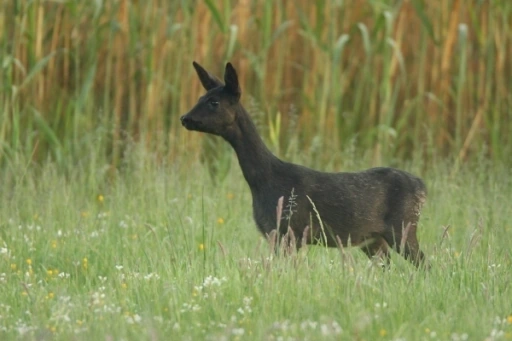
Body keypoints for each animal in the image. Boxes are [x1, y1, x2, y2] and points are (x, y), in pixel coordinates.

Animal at [181, 62, 428, 266]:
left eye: (214, 102)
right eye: (200, 98)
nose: (184, 118)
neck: (264, 181)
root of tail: (422, 186)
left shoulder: (290, 231)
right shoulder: (276, 233)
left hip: (403, 226)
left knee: (425, 264)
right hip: (373, 239)